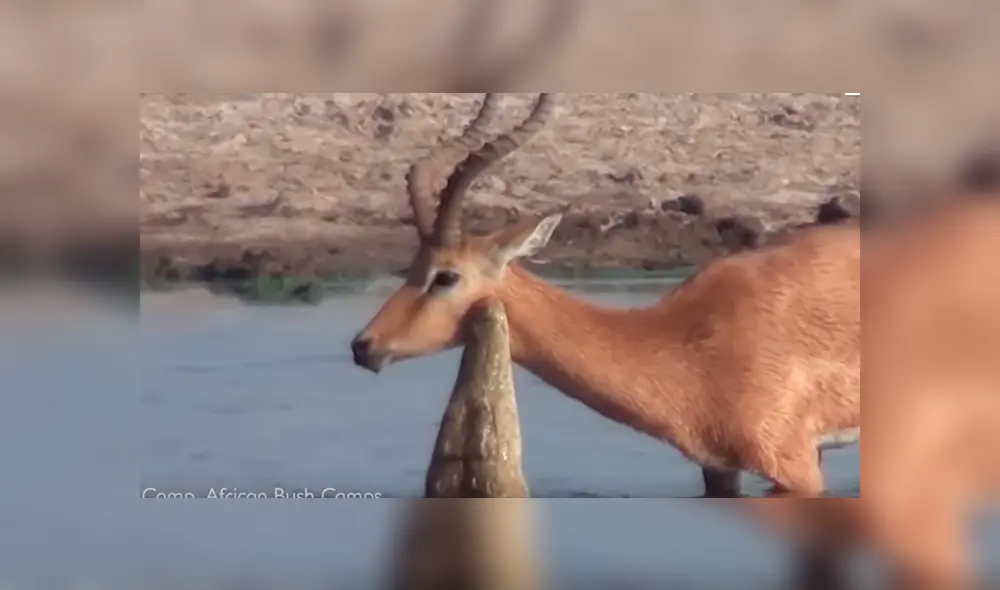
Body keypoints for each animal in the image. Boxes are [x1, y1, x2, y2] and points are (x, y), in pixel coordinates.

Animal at [350, 93, 860, 497]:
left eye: (446, 276)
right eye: (412, 266)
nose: (364, 346)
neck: (688, 341)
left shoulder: (794, 466)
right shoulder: (717, 469)